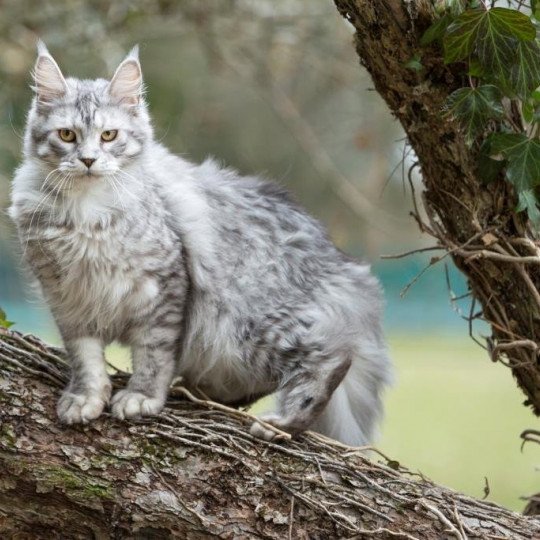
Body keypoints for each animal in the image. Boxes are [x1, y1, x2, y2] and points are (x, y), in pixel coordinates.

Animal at [8, 42, 392, 446]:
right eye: (67, 135)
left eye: (109, 136)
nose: (87, 160)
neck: (86, 213)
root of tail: (341, 263)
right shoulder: (69, 300)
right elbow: (86, 359)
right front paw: (85, 398)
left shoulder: (164, 287)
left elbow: (154, 354)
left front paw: (142, 397)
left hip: (248, 323)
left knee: (332, 356)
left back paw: (281, 423)